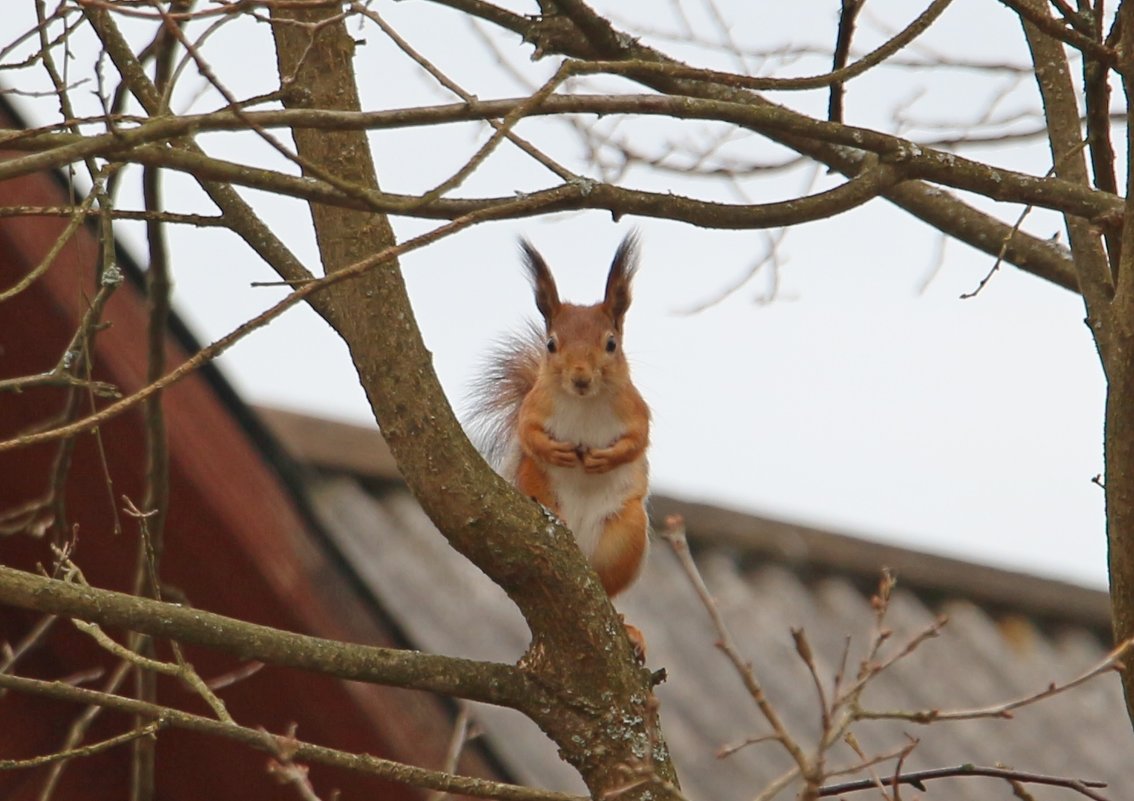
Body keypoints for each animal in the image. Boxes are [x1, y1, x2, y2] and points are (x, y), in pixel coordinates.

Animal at [467, 233, 648, 653]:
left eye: (611, 344)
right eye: (551, 344)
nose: (580, 377)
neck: (584, 402)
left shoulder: (636, 411)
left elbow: (638, 441)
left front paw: (604, 459)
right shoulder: (533, 408)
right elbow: (528, 434)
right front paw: (555, 451)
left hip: (626, 535)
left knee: (607, 591)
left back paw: (627, 627)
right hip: (543, 496)